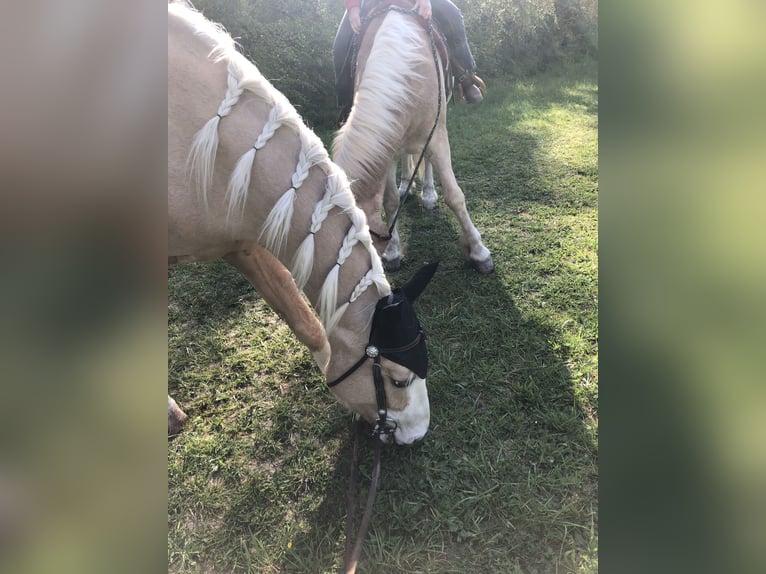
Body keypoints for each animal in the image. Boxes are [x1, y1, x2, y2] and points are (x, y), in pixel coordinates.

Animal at [334, 1, 492, 274]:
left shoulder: (437, 137)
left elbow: (455, 196)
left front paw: (479, 252)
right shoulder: (385, 150)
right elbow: (390, 202)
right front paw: (393, 252)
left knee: (425, 162)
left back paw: (428, 194)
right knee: (407, 158)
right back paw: (406, 183)